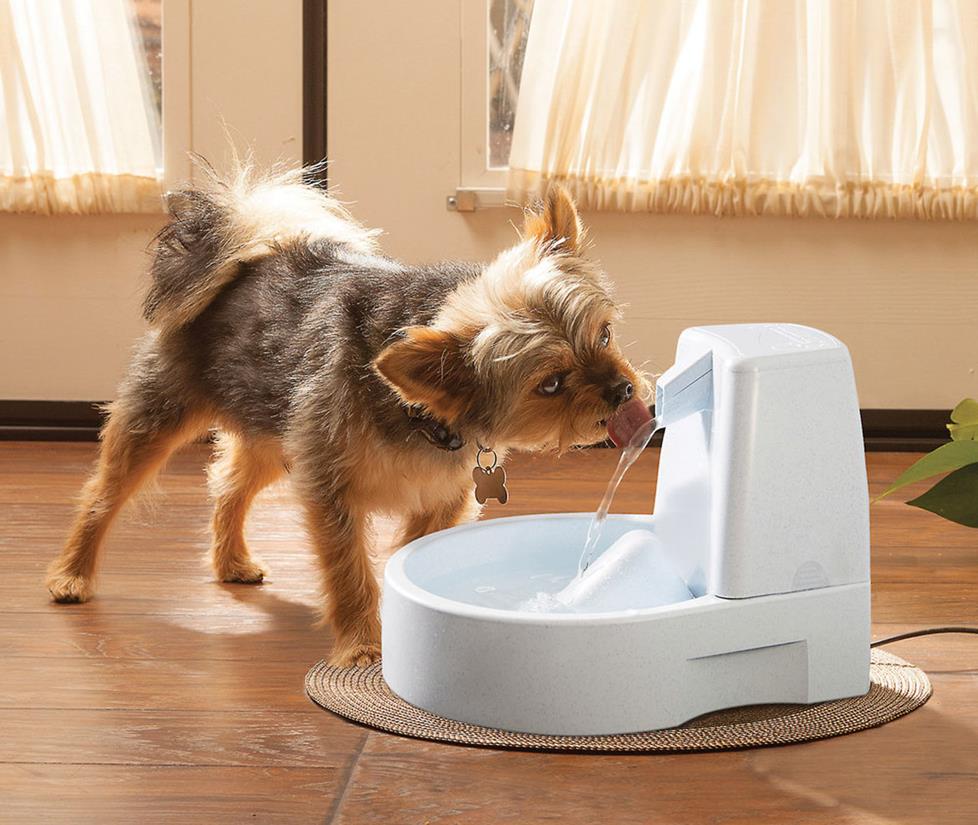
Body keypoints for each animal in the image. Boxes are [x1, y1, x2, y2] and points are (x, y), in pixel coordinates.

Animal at [49, 159, 652, 664]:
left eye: (603, 334)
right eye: (550, 384)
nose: (624, 391)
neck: (420, 413)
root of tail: (246, 259)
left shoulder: (440, 498)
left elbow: (405, 559)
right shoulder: (330, 490)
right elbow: (350, 573)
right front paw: (362, 648)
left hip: (273, 436)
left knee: (228, 486)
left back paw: (230, 561)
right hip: (160, 419)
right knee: (102, 494)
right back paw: (72, 574)